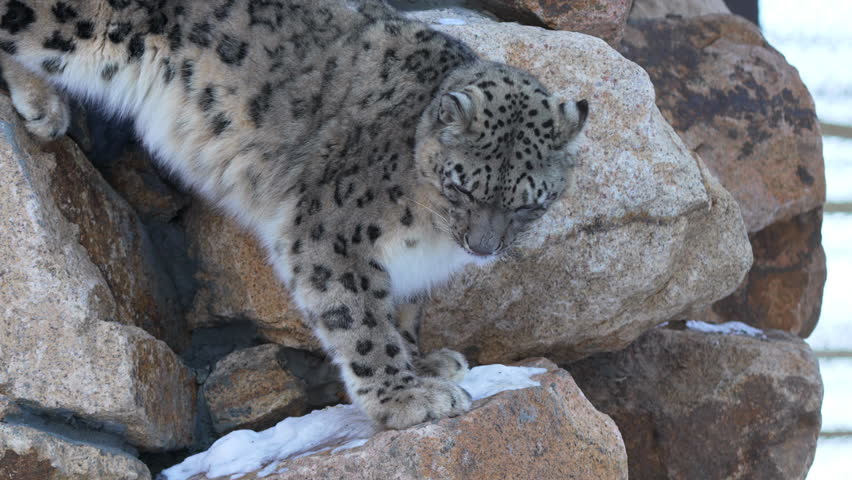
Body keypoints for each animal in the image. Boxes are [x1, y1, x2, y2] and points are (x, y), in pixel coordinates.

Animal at [0, 0, 588, 430]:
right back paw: (44, 106)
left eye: (527, 202)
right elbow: (362, 321)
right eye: (462, 187)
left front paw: (424, 365)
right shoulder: (332, 231)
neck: (431, 232)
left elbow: (400, 313)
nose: (483, 248)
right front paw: (405, 398)